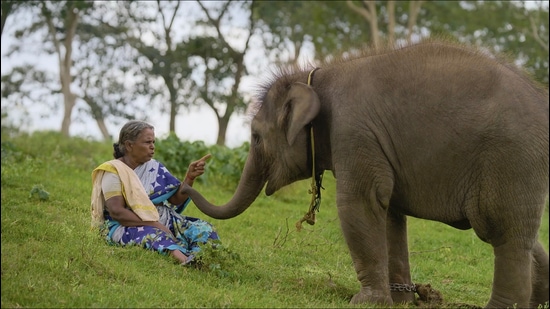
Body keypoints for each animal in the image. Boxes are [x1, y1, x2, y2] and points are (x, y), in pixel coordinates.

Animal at [183, 40, 548, 306]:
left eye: (256, 136)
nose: (192, 174)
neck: (317, 74)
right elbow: (390, 215)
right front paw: (399, 301)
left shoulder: (353, 131)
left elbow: (359, 203)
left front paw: (365, 302)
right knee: (523, 234)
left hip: (512, 159)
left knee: (503, 232)